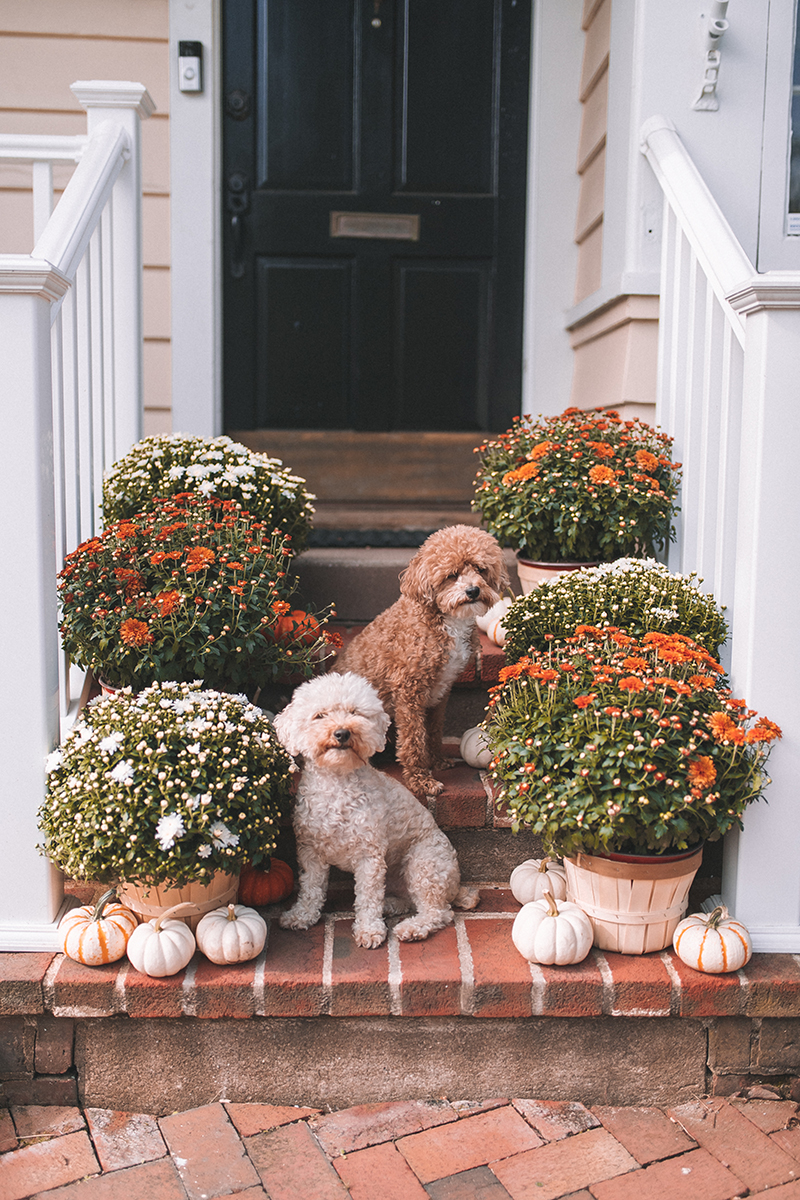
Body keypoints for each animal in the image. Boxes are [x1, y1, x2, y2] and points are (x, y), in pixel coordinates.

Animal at [272, 676, 479, 945]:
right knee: (409, 901)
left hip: (423, 864)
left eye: (355, 712)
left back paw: (412, 928)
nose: (342, 733)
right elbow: (310, 889)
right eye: (320, 715)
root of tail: (456, 887)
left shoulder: (369, 855)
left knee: (438, 912)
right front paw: (301, 916)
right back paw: (390, 905)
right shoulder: (310, 852)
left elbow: (368, 897)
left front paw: (369, 930)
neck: (338, 784)